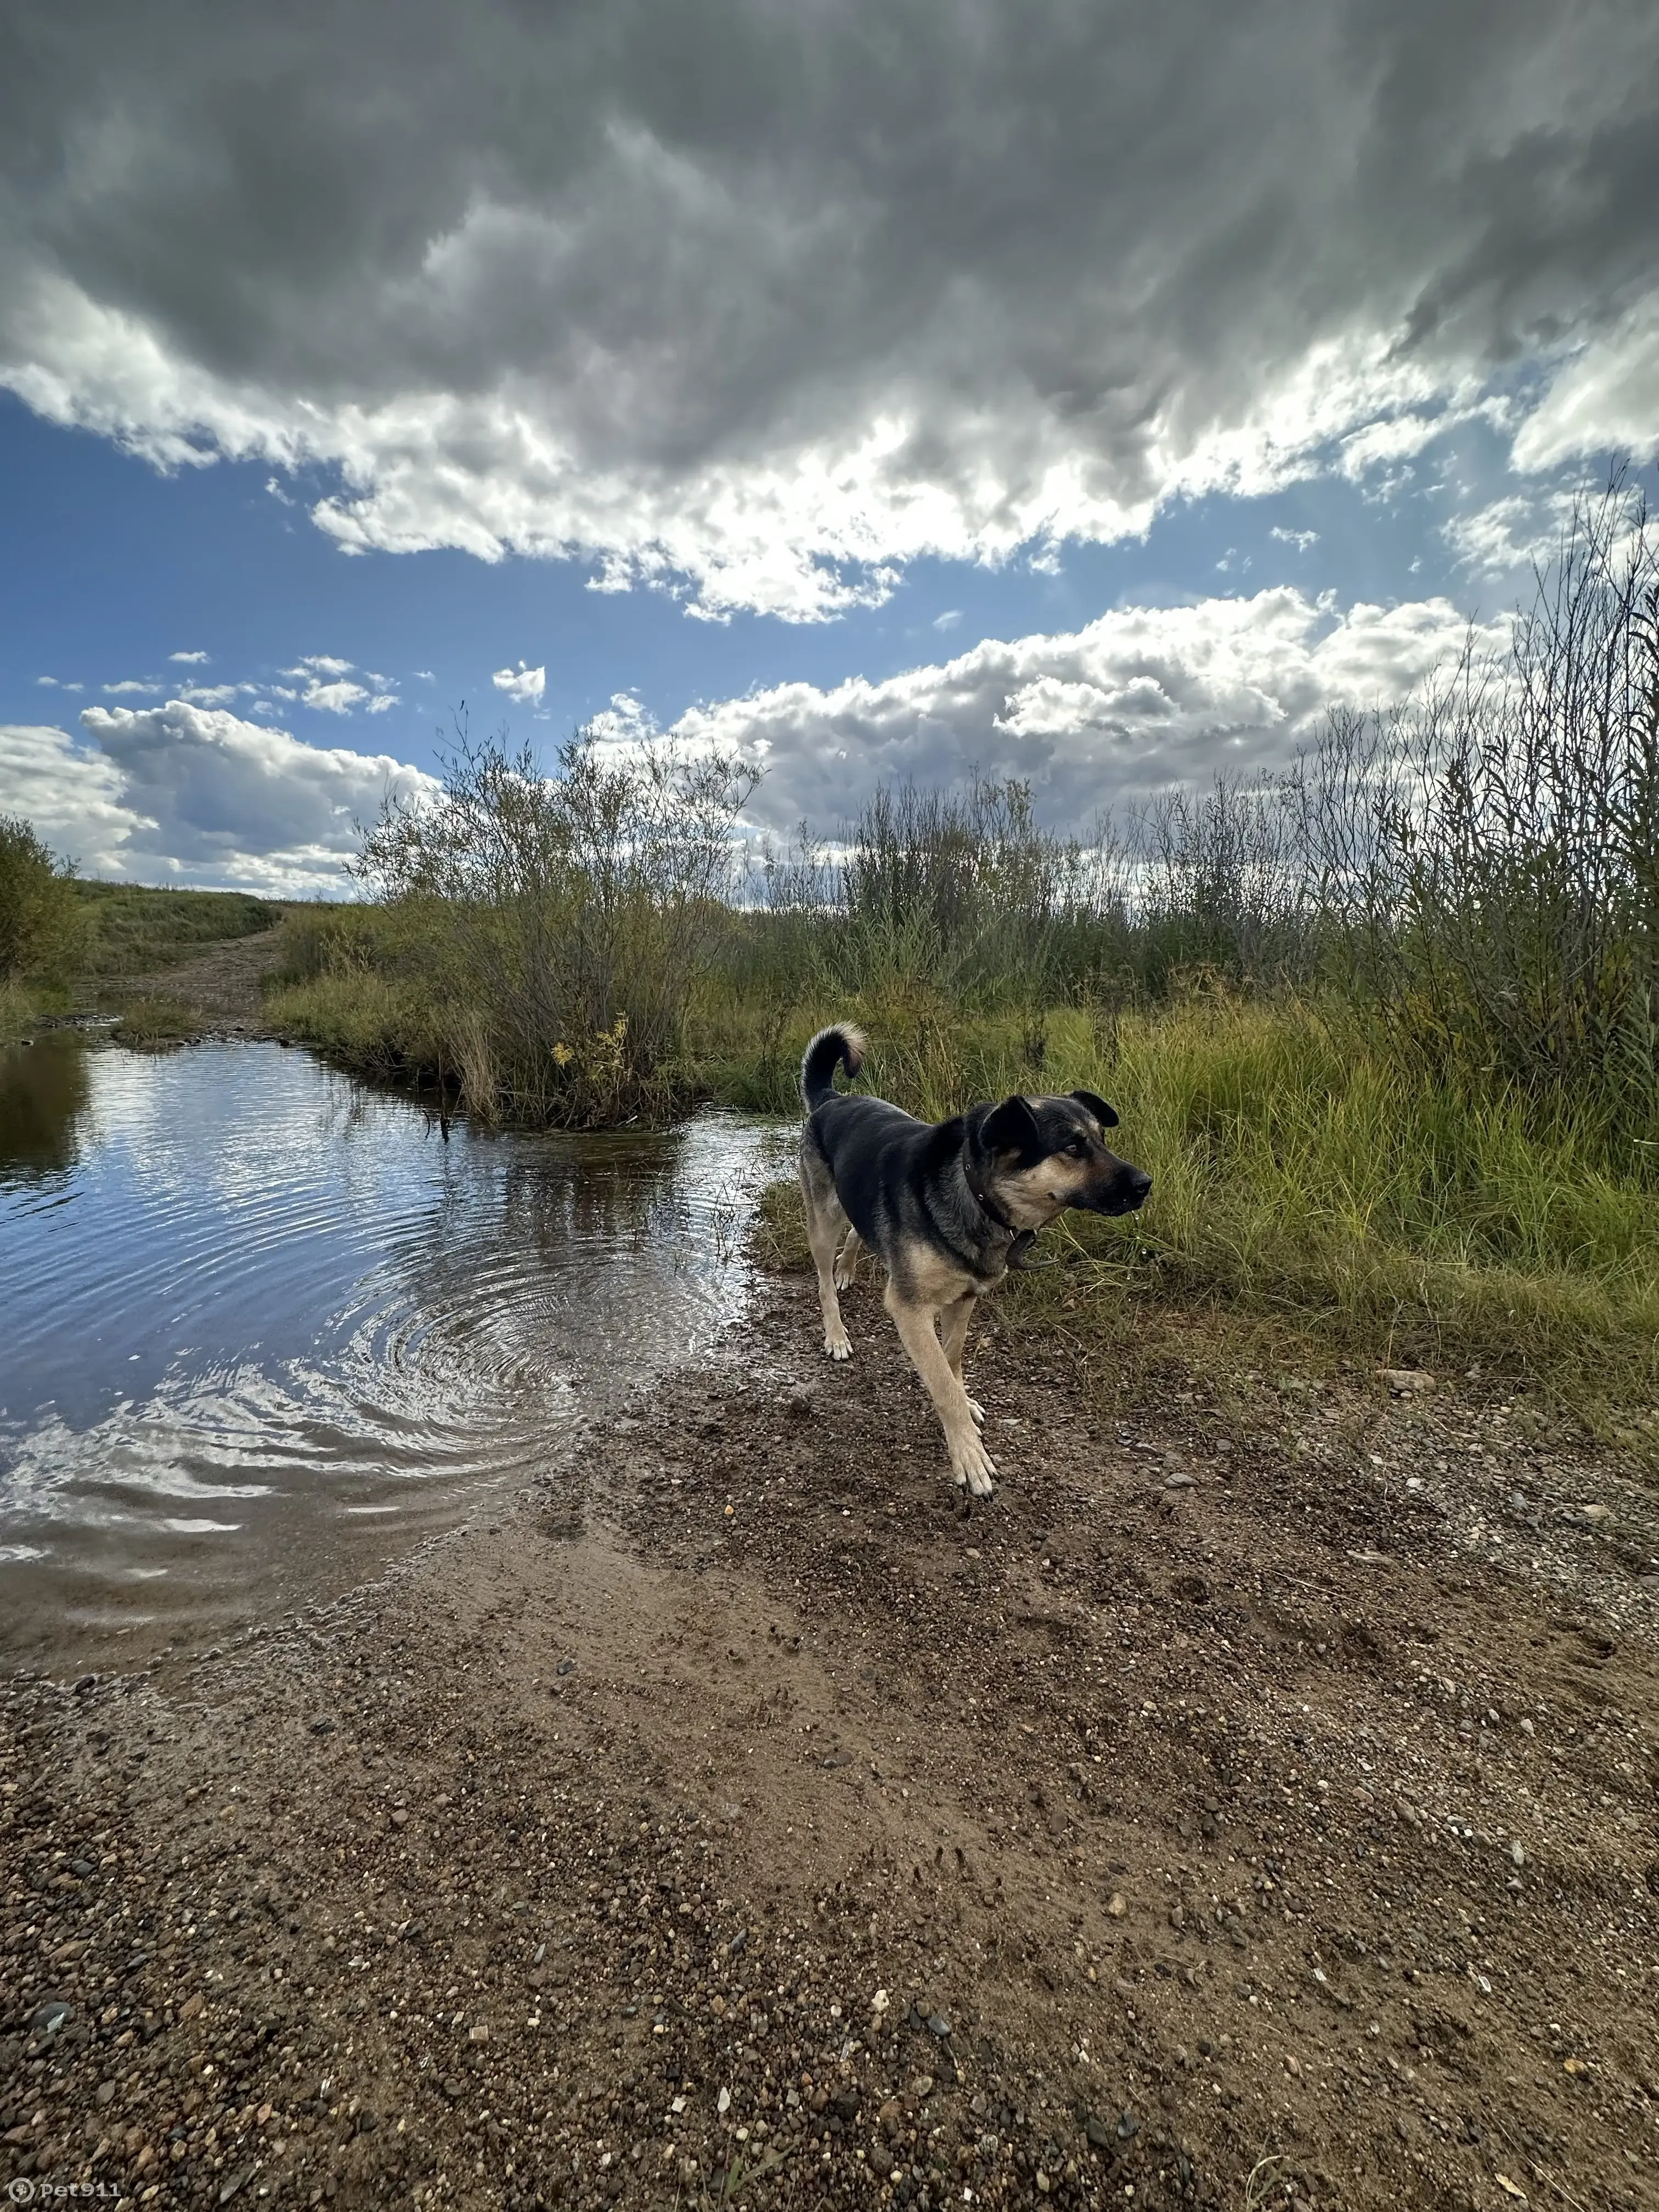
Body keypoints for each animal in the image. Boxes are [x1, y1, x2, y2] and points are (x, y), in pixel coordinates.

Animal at [800, 1026, 1150, 1495]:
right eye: (1073, 1147)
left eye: (1102, 1141)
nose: (1146, 1184)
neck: (975, 1194)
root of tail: (832, 1099)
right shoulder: (908, 1309)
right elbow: (942, 1383)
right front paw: (969, 1455)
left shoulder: (964, 1300)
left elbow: (952, 1361)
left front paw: (964, 1402)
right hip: (824, 1219)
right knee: (823, 1282)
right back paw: (836, 1332)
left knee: (861, 1231)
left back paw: (846, 1270)